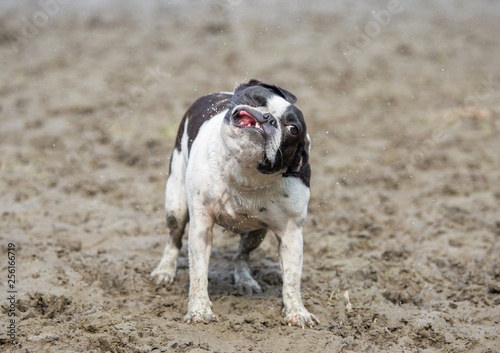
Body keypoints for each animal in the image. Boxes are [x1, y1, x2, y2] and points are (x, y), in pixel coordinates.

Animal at [150, 77, 318, 328]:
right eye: (255, 99)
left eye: (292, 129)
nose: (268, 117)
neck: (244, 173)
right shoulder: (201, 227)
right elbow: (198, 274)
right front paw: (199, 309)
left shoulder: (291, 235)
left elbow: (291, 278)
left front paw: (297, 311)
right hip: (175, 205)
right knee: (174, 239)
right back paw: (165, 271)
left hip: (257, 233)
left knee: (241, 255)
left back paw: (245, 280)